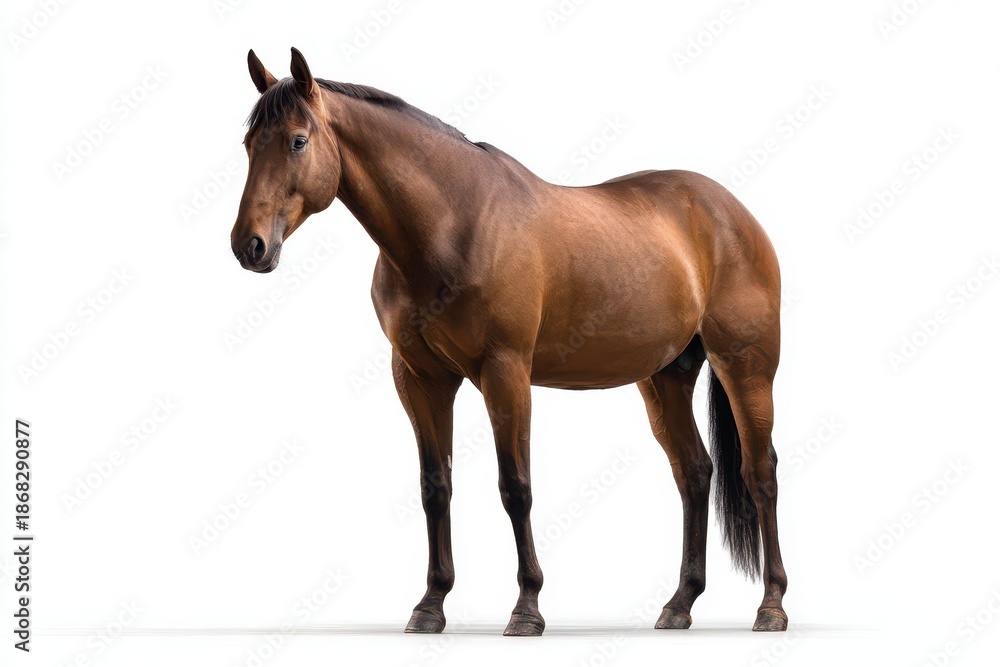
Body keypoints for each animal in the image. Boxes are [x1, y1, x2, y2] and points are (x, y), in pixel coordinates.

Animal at [230, 48, 788, 636]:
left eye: (297, 140)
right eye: (249, 144)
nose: (250, 246)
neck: (452, 225)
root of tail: (732, 211)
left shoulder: (506, 373)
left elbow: (515, 487)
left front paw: (527, 607)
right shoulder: (420, 378)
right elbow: (435, 487)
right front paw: (430, 605)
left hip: (745, 369)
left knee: (760, 472)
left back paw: (771, 605)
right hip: (665, 377)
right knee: (695, 473)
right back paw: (680, 603)